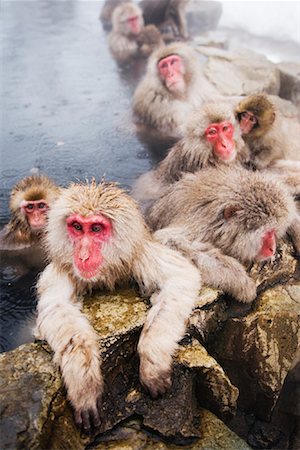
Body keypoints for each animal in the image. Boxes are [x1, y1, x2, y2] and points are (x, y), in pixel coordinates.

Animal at [35, 179, 200, 432]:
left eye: (95, 229)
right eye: (77, 227)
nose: (82, 255)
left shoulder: (139, 254)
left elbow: (182, 277)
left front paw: (152, 363)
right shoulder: (64, 267)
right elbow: (56, 307)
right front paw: (84, 385)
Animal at [145, 168, 298, 302]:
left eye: (274, 232)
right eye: (268, 233)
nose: (272, 248)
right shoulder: (200, 225)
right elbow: (168, 241)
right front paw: (241, 282)